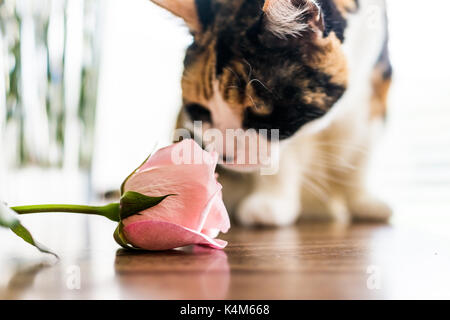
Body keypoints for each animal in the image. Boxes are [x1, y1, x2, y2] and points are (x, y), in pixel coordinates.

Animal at [149, 0, 392, 225]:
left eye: (257, 116)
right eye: (200, 111)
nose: (224, 156)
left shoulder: (374, 90)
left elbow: (361, 155)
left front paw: (362, 201)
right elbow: (283, 158)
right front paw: (270, 205)